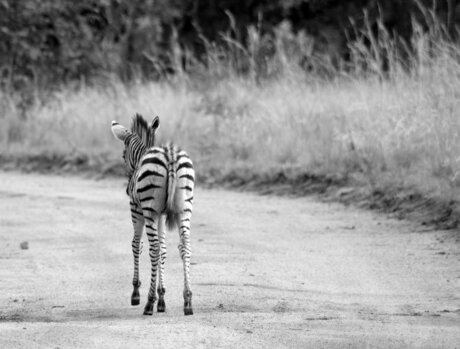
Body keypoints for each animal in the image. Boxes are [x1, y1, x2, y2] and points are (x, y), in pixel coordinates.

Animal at [112, 114, 195, 316]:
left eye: (123, 155)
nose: (128, 189)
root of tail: (170, 154)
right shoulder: (162, 215)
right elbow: (164, 250)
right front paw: (162, 295)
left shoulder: (136, 209)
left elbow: (137, 245)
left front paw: (138, 293)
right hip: (184, 209)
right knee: (185, 247)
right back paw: (188, 301)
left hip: (148, 211)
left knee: (154, 249)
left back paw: (149, 303)